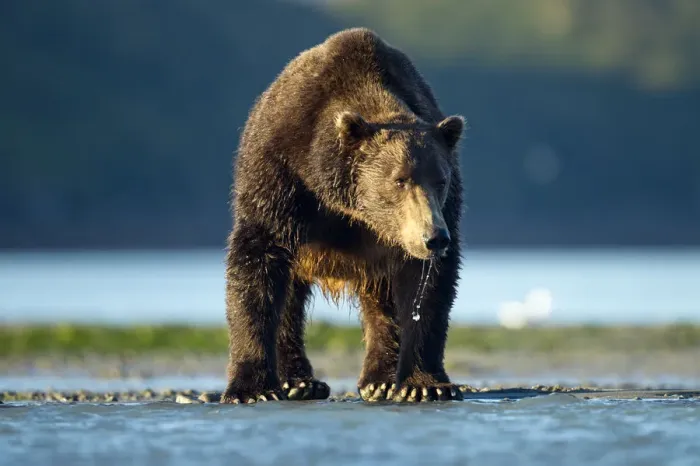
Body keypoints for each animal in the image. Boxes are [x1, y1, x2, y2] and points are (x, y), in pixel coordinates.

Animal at [222, 27, 465, 404]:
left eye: (440, 179)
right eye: (399, 179)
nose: (434, 237)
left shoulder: (435, 215)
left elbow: (427, 288)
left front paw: (423, 384)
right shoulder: (281, 175)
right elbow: (257, 264)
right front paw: (252, 388)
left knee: (381, 300)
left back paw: (379, 379)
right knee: (289, 298)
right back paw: (299, 382)